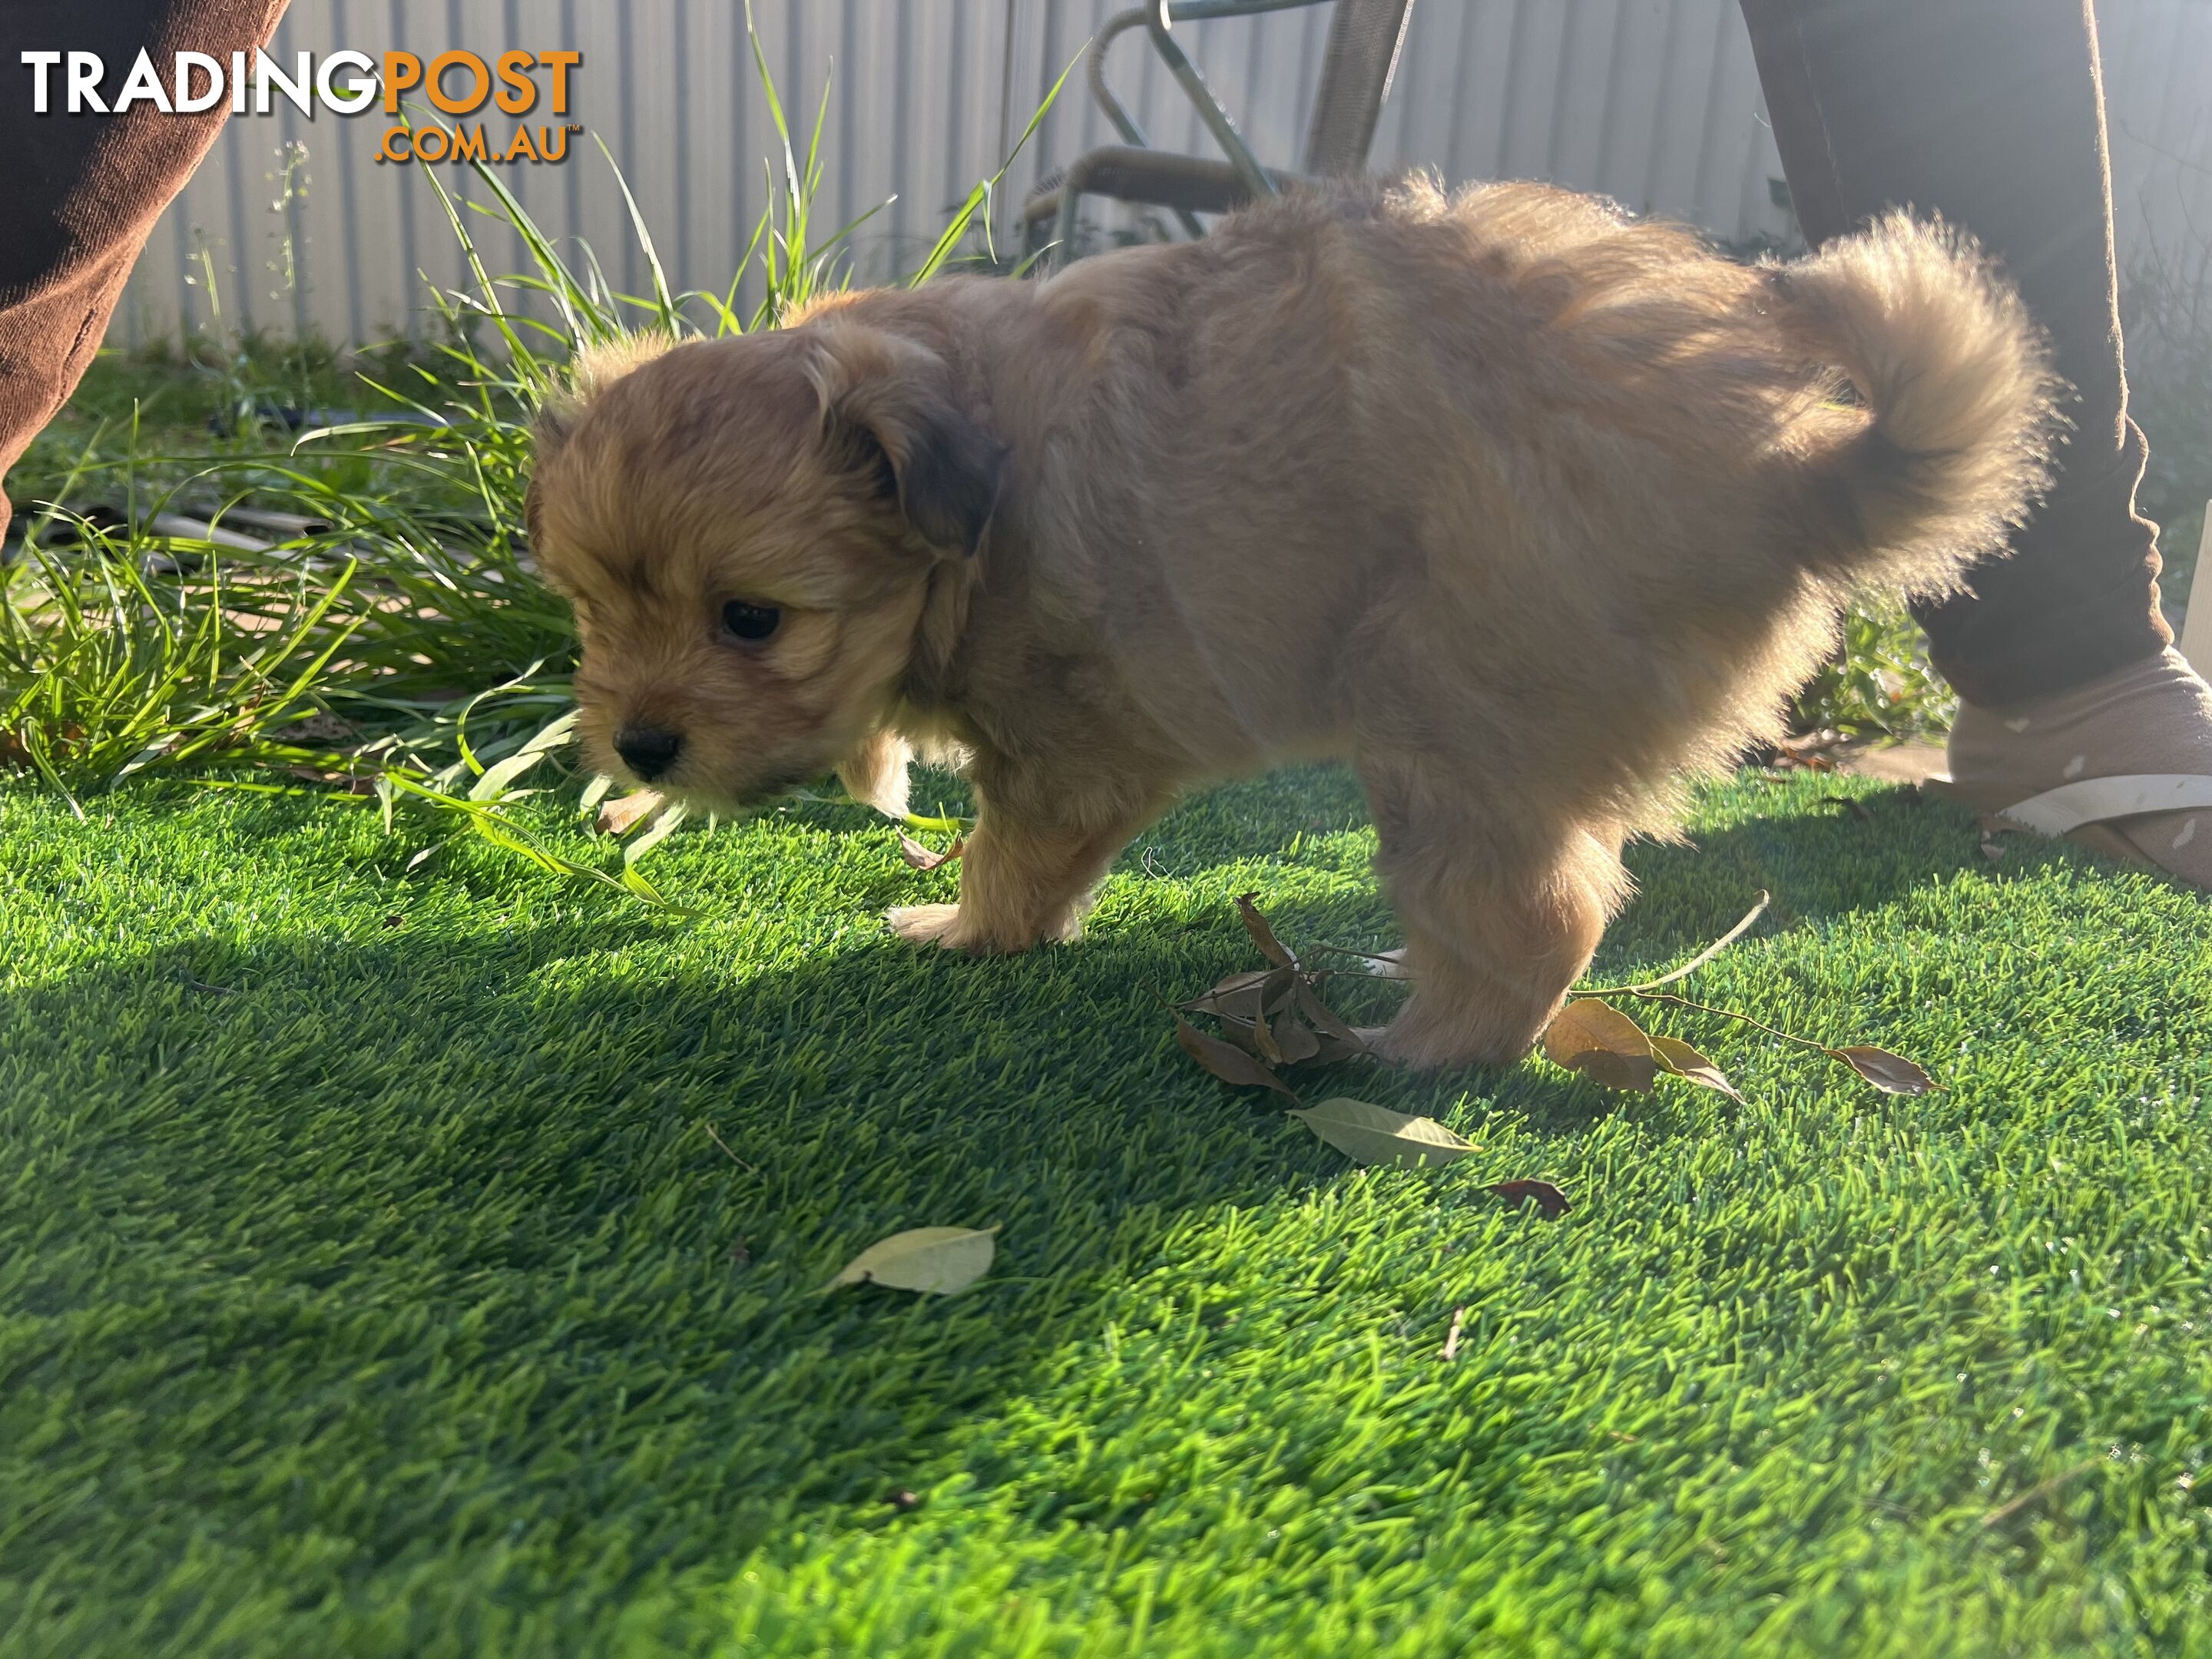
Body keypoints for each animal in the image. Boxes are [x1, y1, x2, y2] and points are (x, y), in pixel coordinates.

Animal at [526, 175, 2044, 1070]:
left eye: (751, 620)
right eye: (590, 609)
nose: (639, 748)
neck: (981, 504)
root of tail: (1795, 477)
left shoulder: (1068, 751)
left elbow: (1015, 862)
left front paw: (962, 932)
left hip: (1446, 722)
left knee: (1538, 916)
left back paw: (1408, 1049)